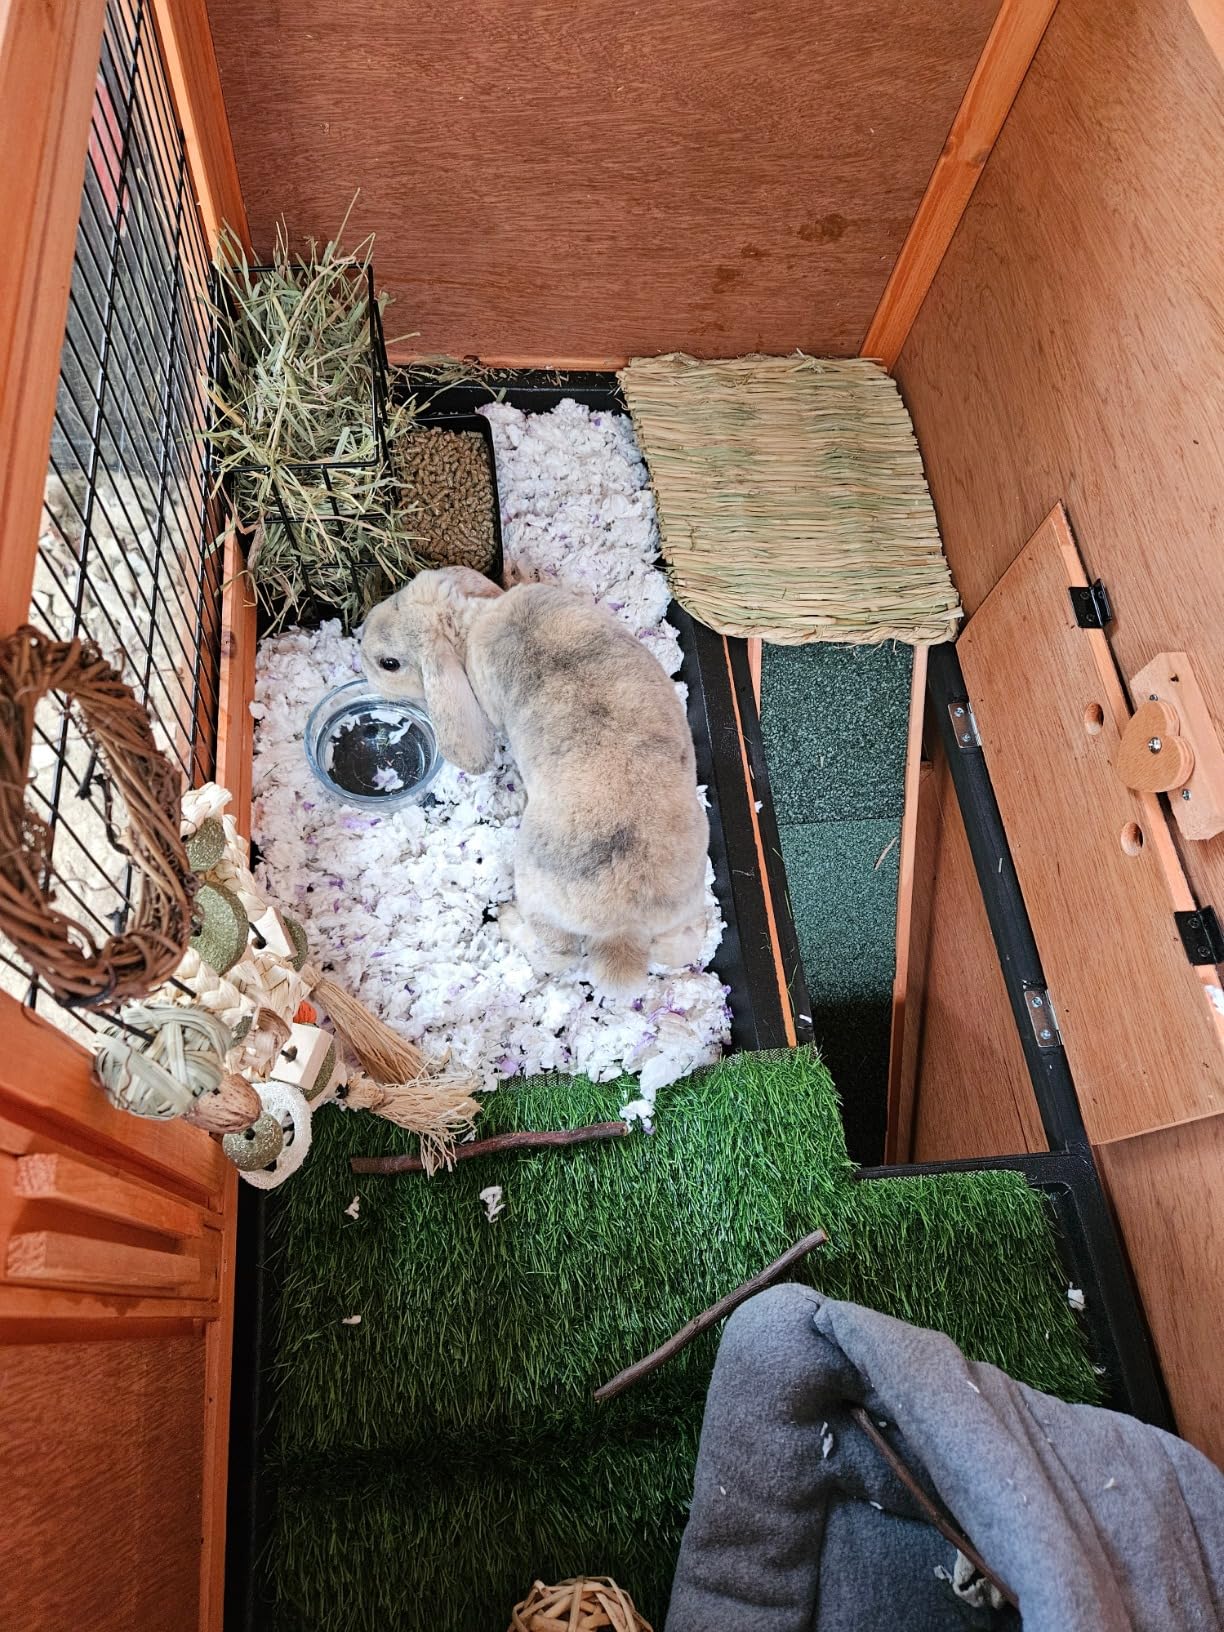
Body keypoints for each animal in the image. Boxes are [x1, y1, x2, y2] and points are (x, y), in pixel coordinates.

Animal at [361, 566, 710, 996]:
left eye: (389, 662)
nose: (359, 640)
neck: (474, 617)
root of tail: (623, 929)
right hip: (683, 909)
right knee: (682, 947)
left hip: (536, 891)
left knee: (556, 954)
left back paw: (509, 921)